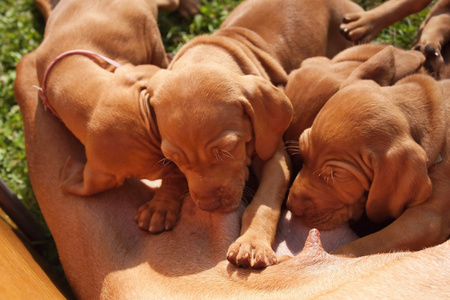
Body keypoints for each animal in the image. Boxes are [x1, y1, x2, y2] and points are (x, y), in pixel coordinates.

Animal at [139, 0, 364, 268]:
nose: (208, 206)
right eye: (174, 158)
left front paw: (252, 242)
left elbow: (263, 203)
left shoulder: (275, 156)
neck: (212, 50)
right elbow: (172, 174)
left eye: (227, 150)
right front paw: (161, 204)